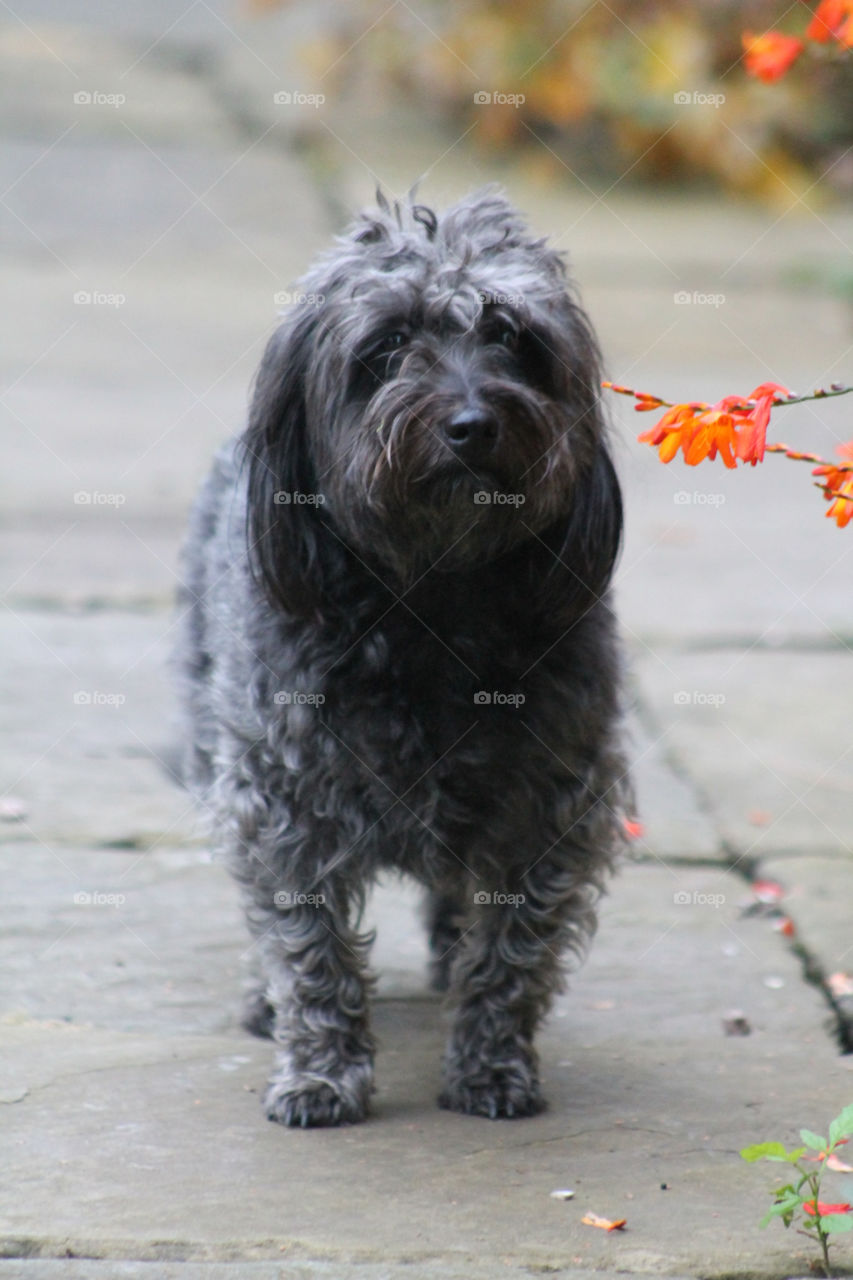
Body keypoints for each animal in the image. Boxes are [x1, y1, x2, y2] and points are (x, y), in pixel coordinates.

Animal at [175, 185, 627, 1126]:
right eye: (386, 346)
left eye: (511, 338)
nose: (471, 424)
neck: (431, 600)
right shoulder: (283, 799)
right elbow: (308, 945)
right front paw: (320, 1071)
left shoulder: (551, 802)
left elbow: (514, 947)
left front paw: (491, 1062)